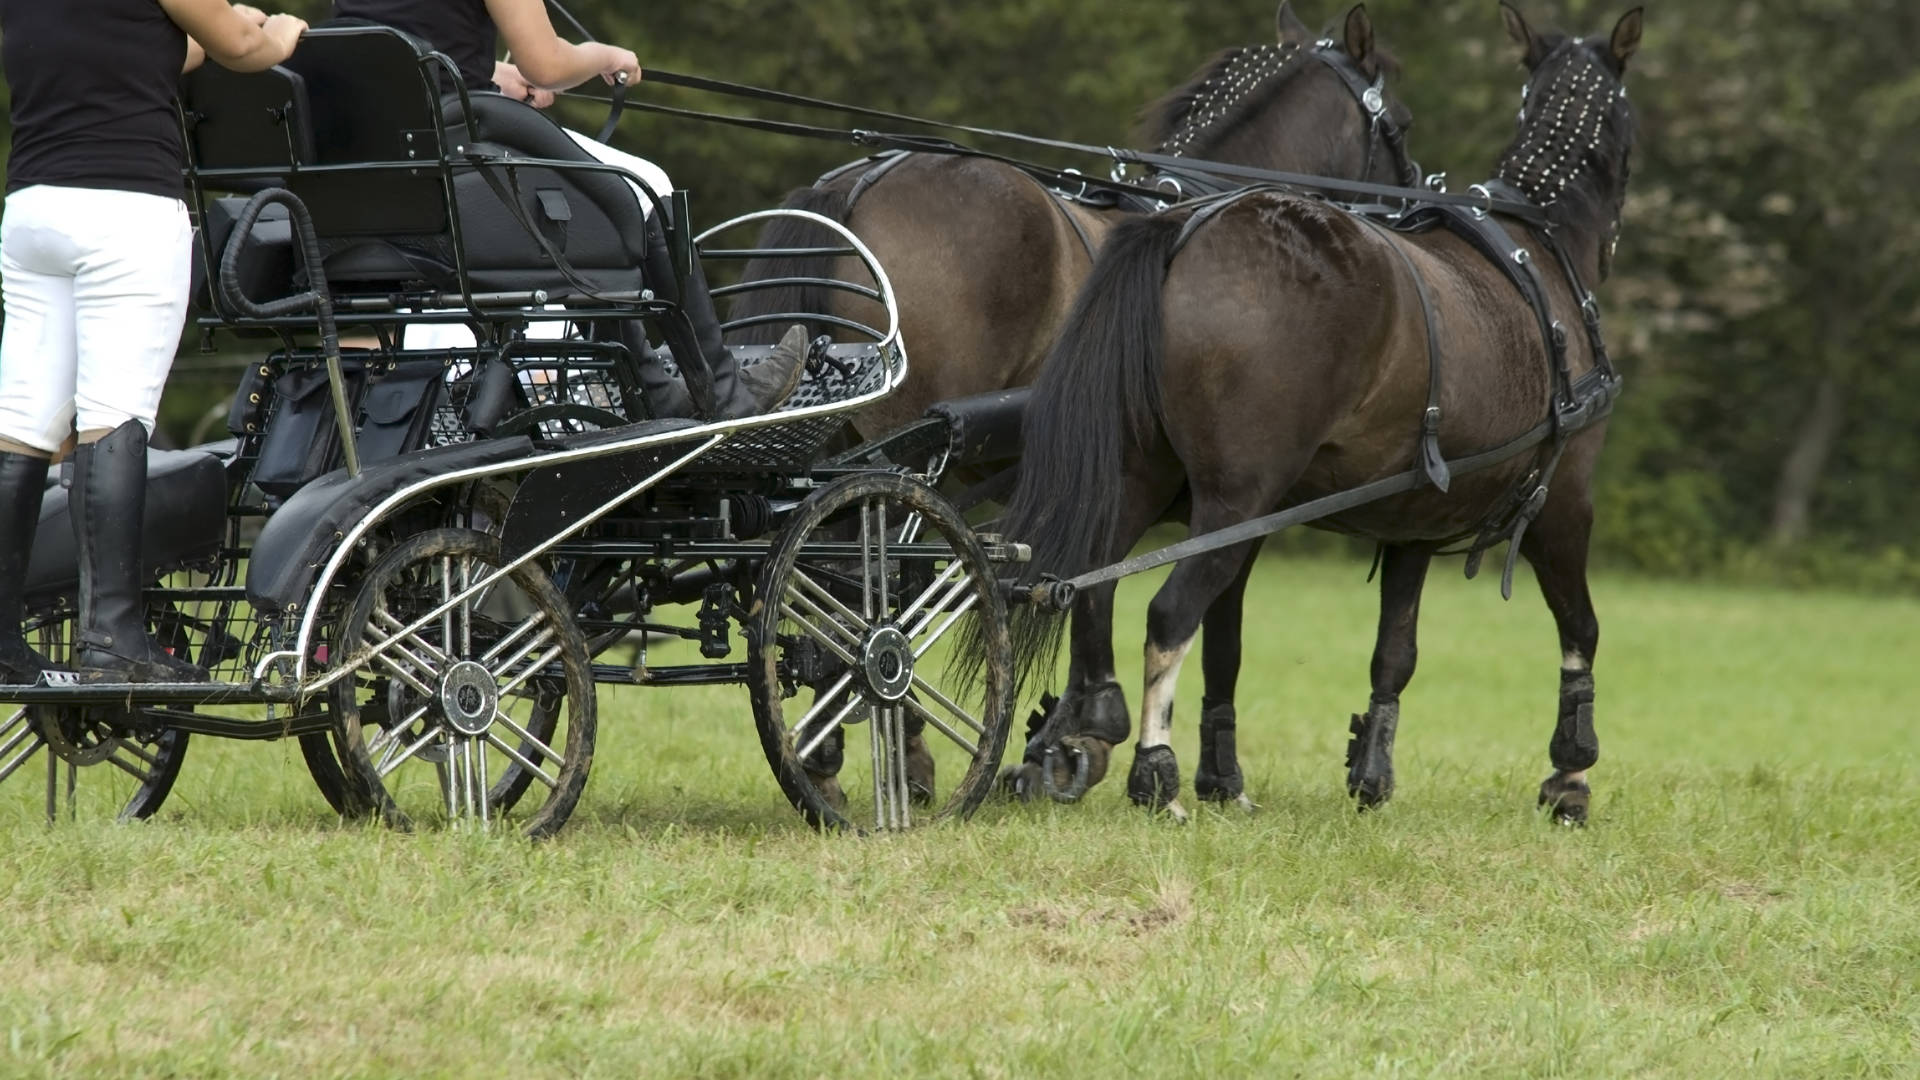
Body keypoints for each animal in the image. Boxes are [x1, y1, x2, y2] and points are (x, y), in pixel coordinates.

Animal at [988, 3, 1643, 824]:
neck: (1538, 244)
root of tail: (1183, 226)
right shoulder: (1564, 504)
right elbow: (1580, 627)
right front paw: (1570, 773)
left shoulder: (1413, 520)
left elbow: (1393, 652)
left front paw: (1368, 771)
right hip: (1234, 500)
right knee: (1168, 613)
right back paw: (1154, 771)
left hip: (1143, 479)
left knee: (1091, 586)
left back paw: (1083, 736)